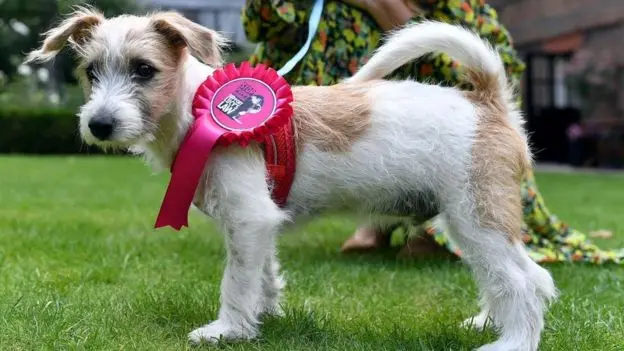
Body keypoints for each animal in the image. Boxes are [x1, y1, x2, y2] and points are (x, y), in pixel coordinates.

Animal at [26, 8, 560, 351]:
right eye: (91, 72)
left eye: (143, 70)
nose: (99, 124)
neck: (197, 108)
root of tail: (487, 100)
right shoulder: (257, 224)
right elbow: (261, 274)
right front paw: (261, 317)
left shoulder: (248, 219)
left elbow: (235, 280)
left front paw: (227, 331)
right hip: (474, 221)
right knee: (523, 277)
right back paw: (487, 323)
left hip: (476, 217)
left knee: (523, 281)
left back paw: (512, 343)